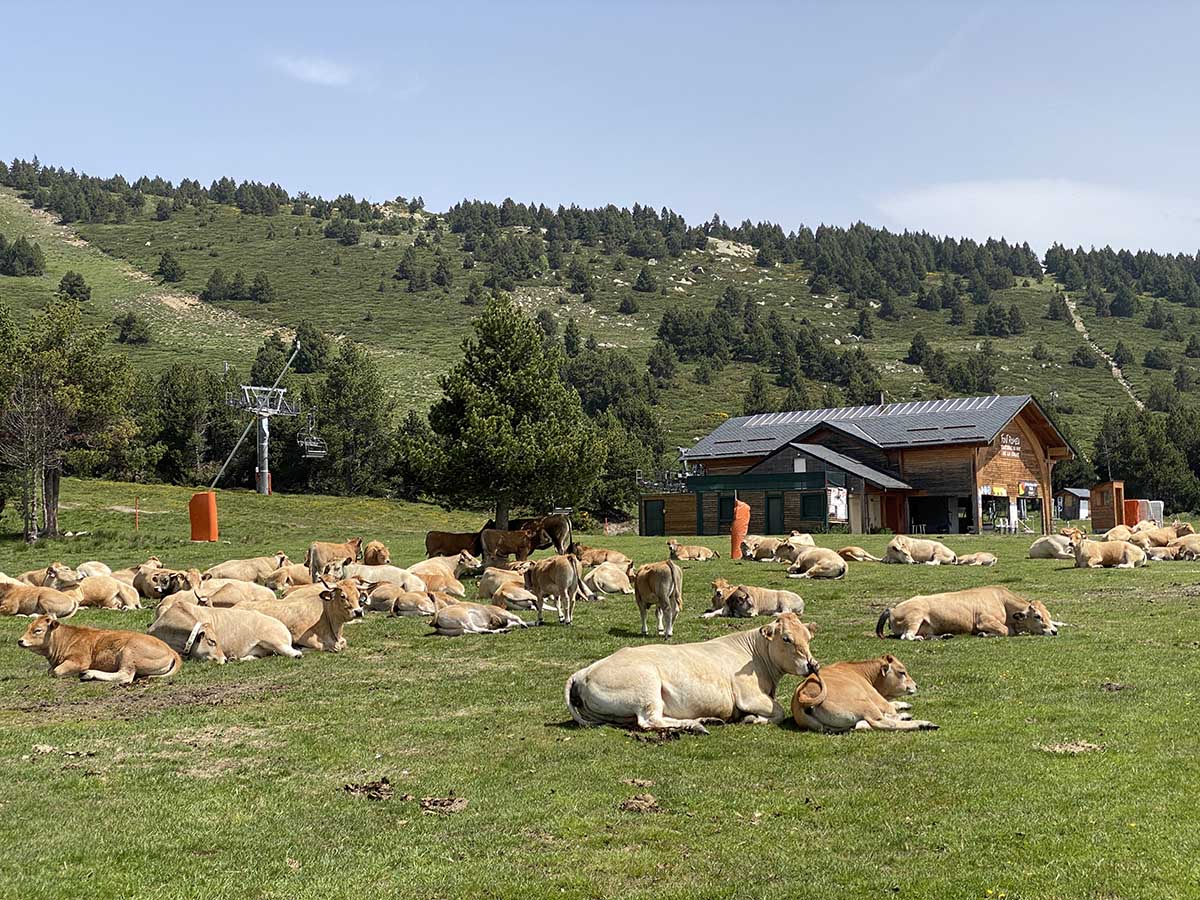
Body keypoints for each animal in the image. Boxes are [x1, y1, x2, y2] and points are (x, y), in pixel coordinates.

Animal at [18, 619, 178, 686]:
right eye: (28, 627)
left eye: (38, 630)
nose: (20, 641)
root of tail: (170, 650)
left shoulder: (79, 661)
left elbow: (55, 671)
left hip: (128, 653)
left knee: (125, 676)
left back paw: (89, 674)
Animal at [566, 619, 820, 734]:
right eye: (786, 638)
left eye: (809, 637)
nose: (812, 665)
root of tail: (583, 671)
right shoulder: (750, 696)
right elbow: (778, 711)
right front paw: (752, 719)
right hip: (647, 687)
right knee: (650, 721)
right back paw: (695, 725)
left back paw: (705, 720)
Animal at [873, 585, 1060, 643]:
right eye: (1037, 616)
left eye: (1049, 615)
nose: (1054, 631)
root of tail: (893, 608)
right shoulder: (984, 621)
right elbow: (1004, 631)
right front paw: (984, 634)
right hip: (915, 617)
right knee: (907, 636)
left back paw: (945, 636)